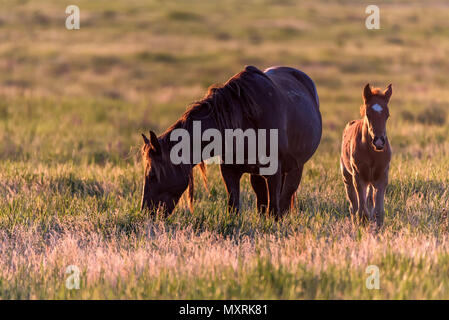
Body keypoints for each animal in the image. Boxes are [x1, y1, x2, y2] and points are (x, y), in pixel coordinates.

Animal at [142, 66, 320, 219]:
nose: (147, 213)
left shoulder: (274, 171)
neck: (243, 121)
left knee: (285, 198)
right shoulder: (229, 170)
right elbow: (234, 207)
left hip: (295, 168)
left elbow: (274, 209)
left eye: (152, 175)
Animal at [342, 84, 390, 226]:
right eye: (368, 114)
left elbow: (378, 211)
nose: (379, 141)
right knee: (353, 205)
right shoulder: (358, 177)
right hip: (347, 176)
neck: (372, 153)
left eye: (387, 115)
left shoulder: (382, 177)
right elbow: (362, 212)